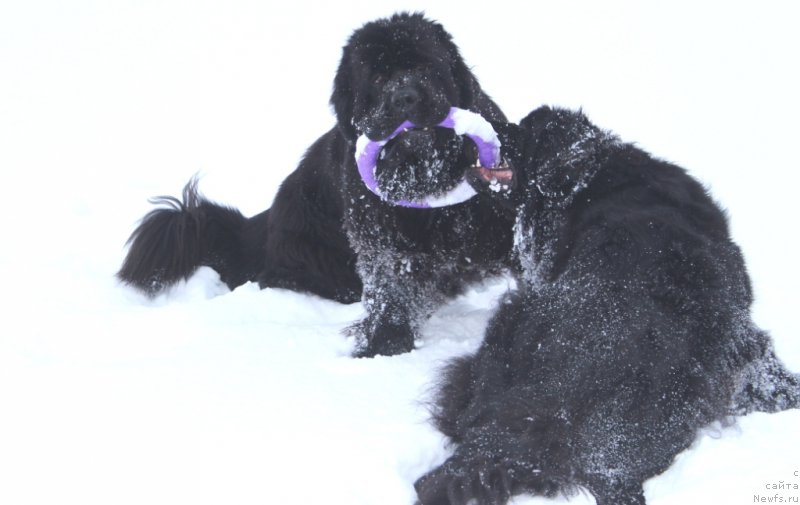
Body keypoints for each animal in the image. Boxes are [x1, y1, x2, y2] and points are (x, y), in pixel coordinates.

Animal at [118, 13, 512, 356]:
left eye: (426, 66)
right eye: (377, 79)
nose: (405, 97)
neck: (427, 178)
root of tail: (257, 226)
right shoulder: (383, 241)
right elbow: (391, 289)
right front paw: (383, 346)